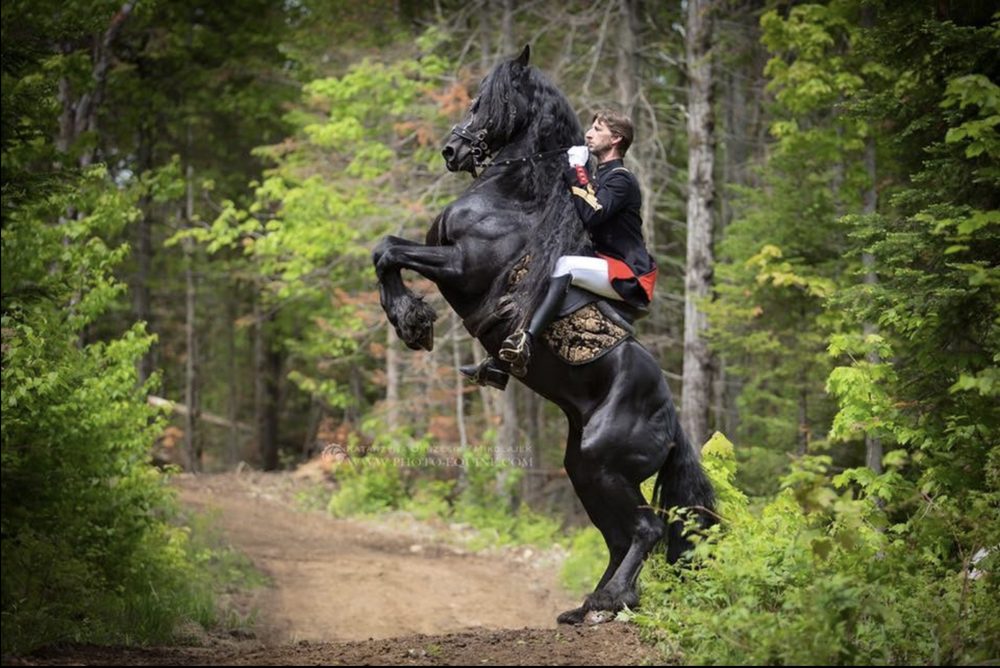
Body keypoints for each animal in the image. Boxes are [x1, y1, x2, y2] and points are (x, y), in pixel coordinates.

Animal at [373, 45, 715, 624]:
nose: (452, 150)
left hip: (604, 465)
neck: (512, 197)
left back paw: (609, 601)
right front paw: (411, 321)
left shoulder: (461, 266)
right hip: (585, 470)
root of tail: (673, 424)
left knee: (645, 530)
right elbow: (385, 248)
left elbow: (389, 251)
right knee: (620, 537)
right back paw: (586, 608)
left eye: (488, 100)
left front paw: (412, 322)